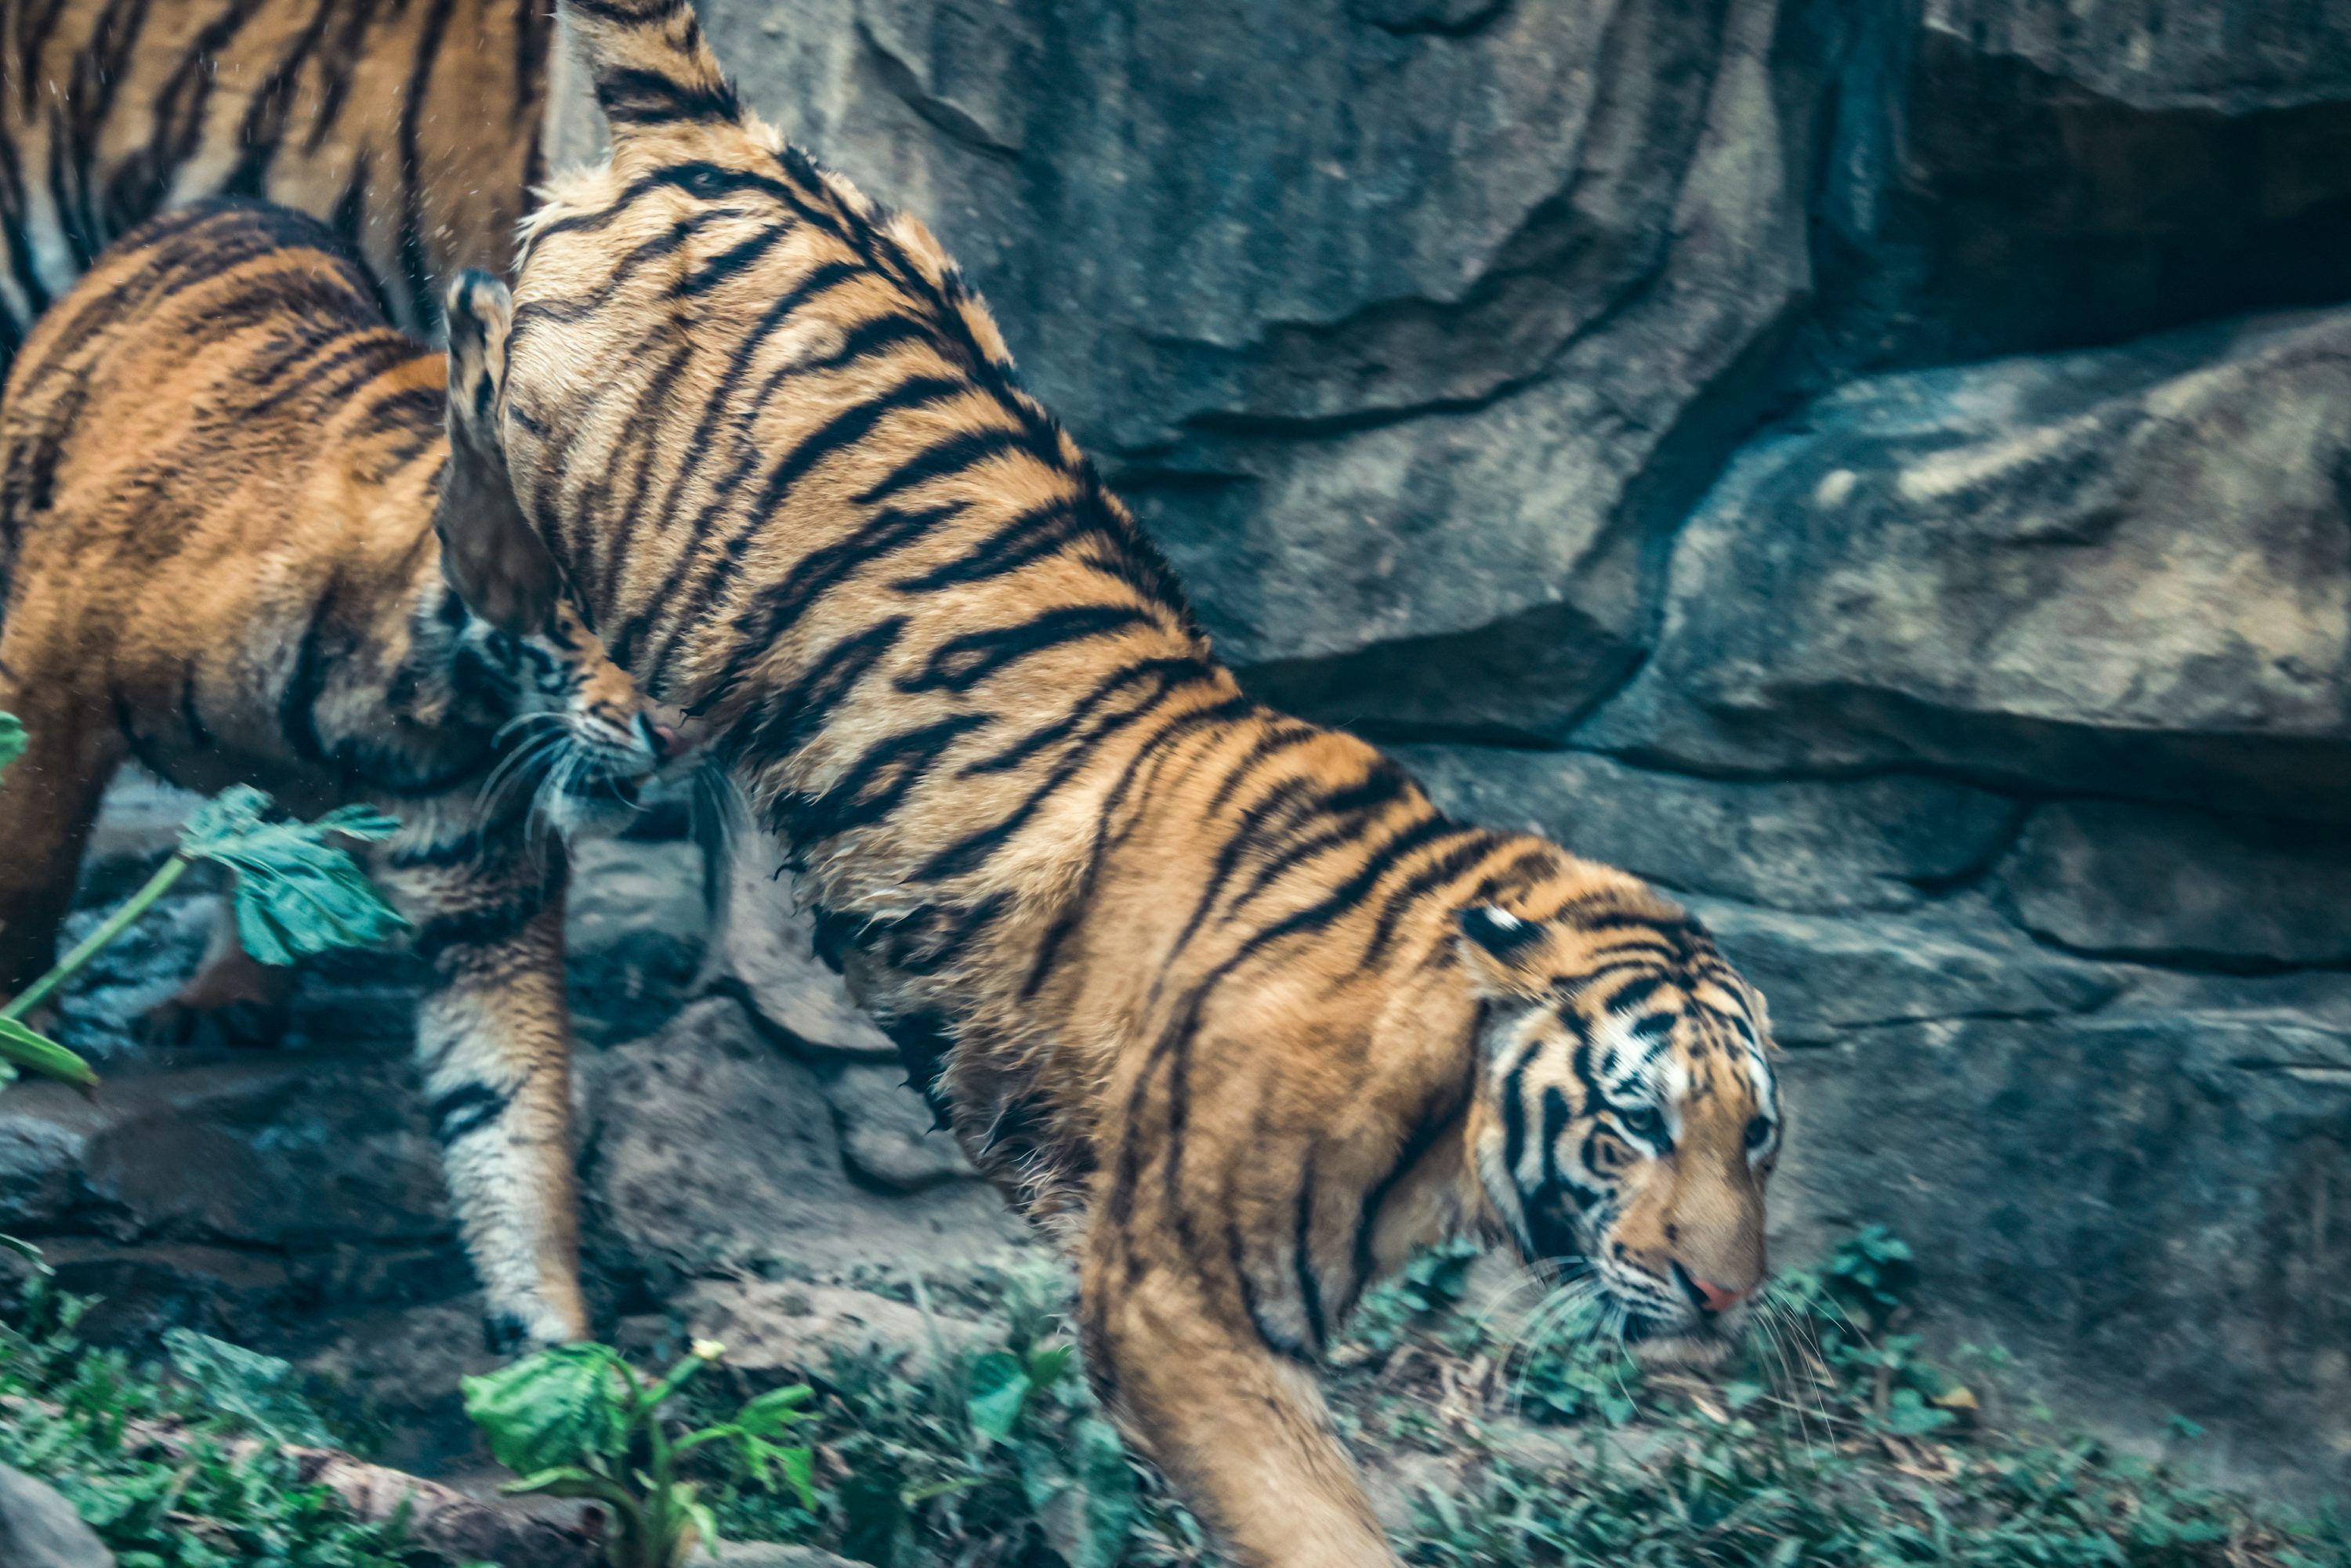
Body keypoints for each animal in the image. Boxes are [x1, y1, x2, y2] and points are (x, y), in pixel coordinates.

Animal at [0, 197, 682, 1354]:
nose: (683, 737)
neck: (424, 703)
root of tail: (227, 207)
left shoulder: (487, 904)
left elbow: (511, 1117)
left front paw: (559, 1354)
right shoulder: (52, 671)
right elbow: (31, 867)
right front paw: (23, 1028)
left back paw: (226, 999)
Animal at [463, 5, 1786, 1563]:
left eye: (1755, 1136)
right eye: (1634, 1124)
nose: (1726, 1297)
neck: (1442, 1102)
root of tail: (710, 126)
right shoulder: (1179, 1303)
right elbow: (1317, 1522)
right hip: (597, 494)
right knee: (471, 326)